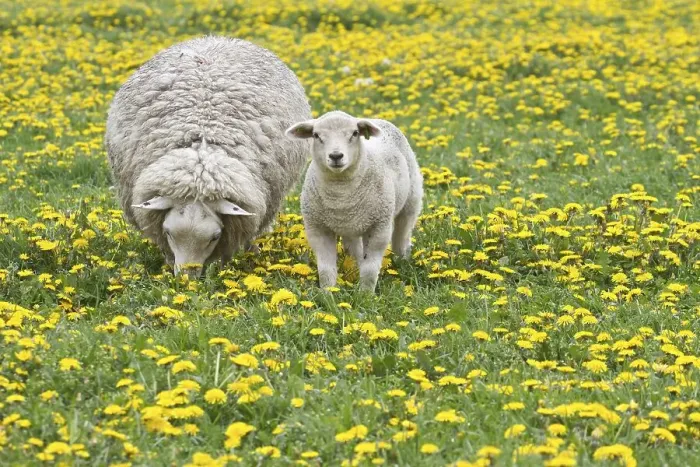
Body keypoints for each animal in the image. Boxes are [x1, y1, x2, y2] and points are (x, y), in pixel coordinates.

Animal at [286, 110, 423, 292]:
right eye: (316, 135)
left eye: (355, 133)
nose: (336, 156)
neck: (341, 194)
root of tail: (375, 119)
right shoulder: (317, 229)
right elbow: (325, 270)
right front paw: (328, 293)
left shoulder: (379, 227)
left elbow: (370, 269)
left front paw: (365, 294)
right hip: (350, 226)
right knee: (355, 249)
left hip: (411, 199)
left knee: (402, 234)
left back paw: (402, 261)